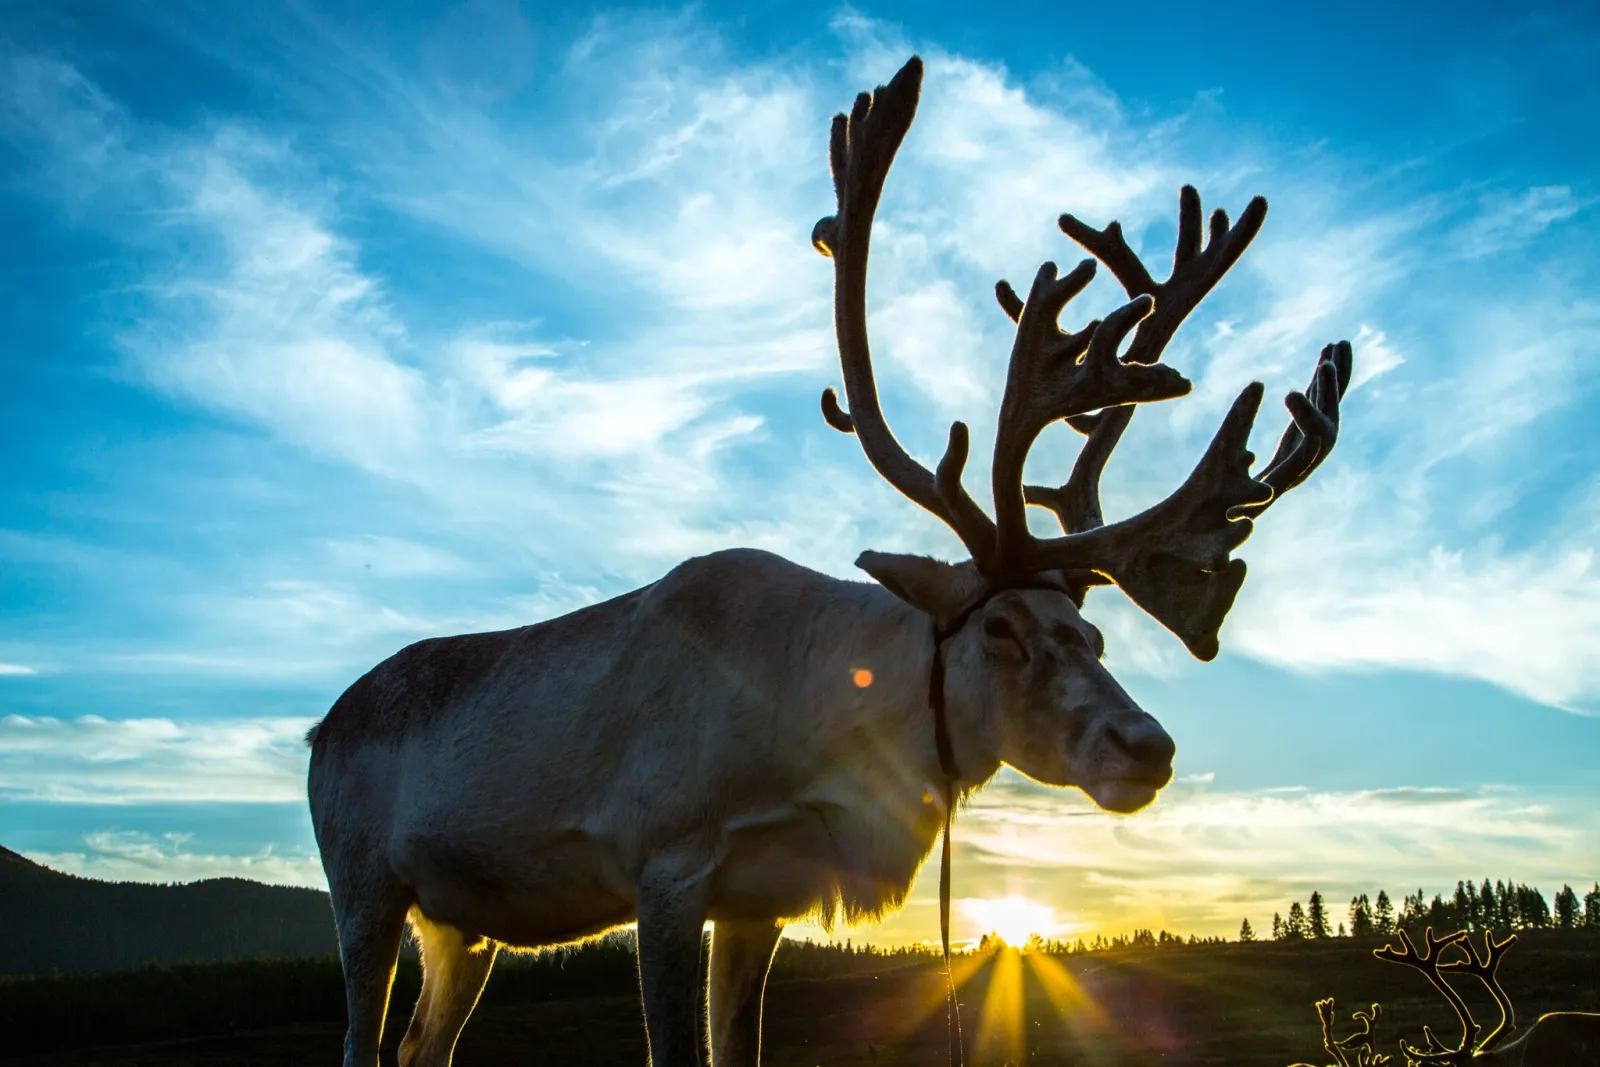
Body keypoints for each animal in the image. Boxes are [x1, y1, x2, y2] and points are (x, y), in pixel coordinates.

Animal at [306, 55, 1354, 1067]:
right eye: (1002, 629)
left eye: (1095, 636)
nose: (1148, 746)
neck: (820, 728)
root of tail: (322, 726)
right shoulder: (666, 866)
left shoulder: (760, 897)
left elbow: (741, 1046)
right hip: (363, 886)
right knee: (363, 1037)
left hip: (463, 923)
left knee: (420, 1044)